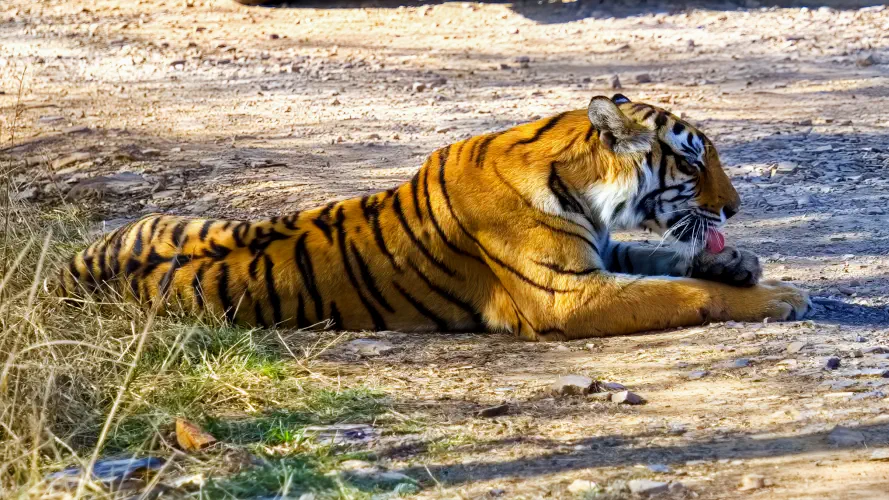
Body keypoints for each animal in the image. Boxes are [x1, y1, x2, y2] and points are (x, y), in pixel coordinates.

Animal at [58, 94, 810, 341]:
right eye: (693, 163)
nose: (735, 208)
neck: (581, 186)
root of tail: (69, 271)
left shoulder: (596, 253)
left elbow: (660, 258)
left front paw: (738, 261)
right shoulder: (565, 295)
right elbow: (680, 290)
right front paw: (776, 296)